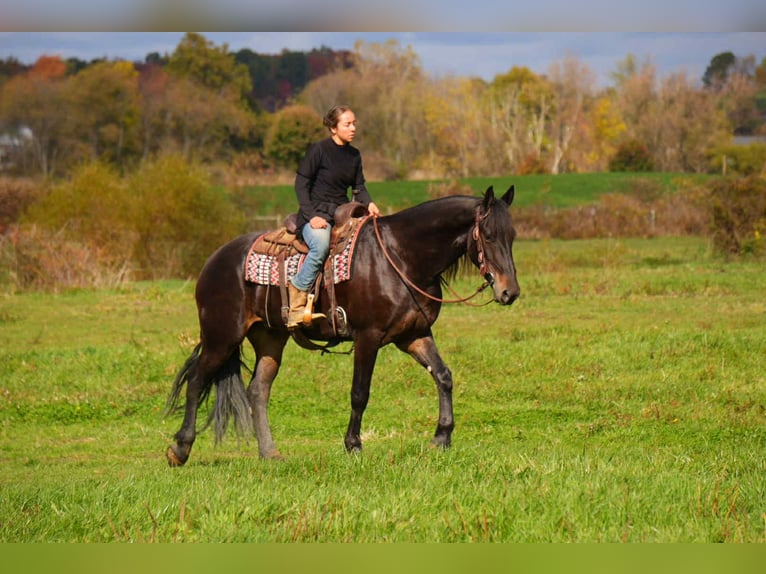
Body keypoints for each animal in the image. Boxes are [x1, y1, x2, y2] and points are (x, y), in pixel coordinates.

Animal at [165, 185, 520, 466]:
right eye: (489, 236)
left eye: (513, 236)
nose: (510, 292)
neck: (402, 257)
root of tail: (213, 262)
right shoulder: (368, 337)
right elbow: (360, 392)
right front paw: (353, 445)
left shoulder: (414, 335)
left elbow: (444, 376)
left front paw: (441, 437)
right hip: (221, 337)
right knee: (196, 381)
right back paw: (180, 449)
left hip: (270, 338)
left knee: (257, 390)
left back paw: (270, 453)